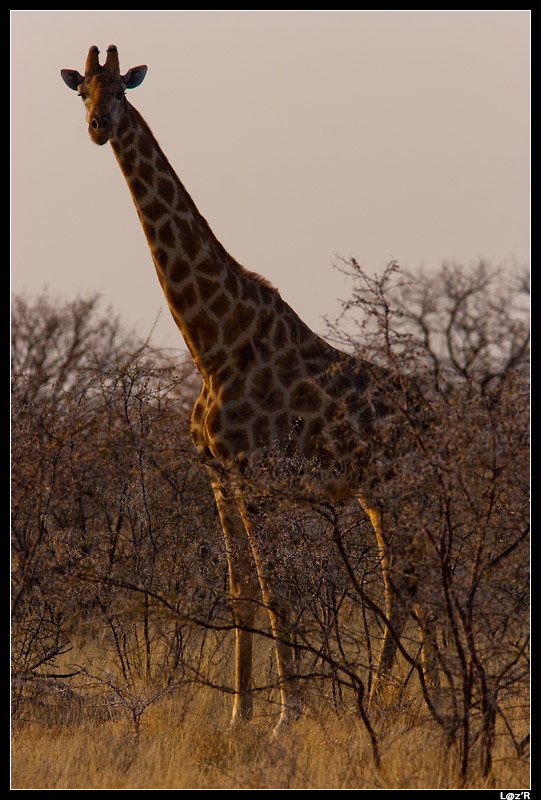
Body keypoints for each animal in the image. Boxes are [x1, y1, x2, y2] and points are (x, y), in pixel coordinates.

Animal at [61, 45, 426, 730]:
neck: (214, 345)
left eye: (121, 90)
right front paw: (239, 715)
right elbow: (241, 593)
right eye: (82, 92)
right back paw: (407, 692)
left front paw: (289, 716)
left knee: (410, 582)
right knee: (410, 580)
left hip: (395, 485)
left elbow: (276, 589)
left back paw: (394, 697)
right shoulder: (219, 476)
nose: (98, 126)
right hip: (375, 492)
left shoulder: (260, 475)